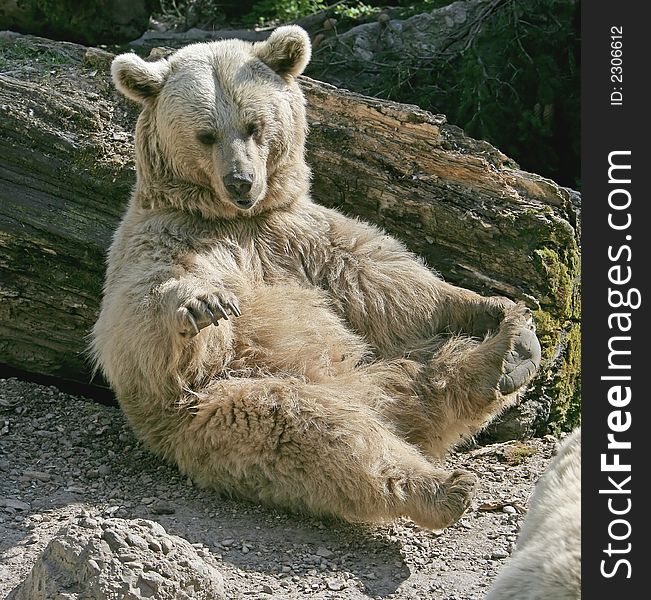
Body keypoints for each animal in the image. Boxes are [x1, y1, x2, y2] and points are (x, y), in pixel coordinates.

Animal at [90, 24, 540, 528]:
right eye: (206, 134)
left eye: (253, 125)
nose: (241, 181)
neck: (234, 219)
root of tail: (374, 400)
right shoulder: (166, 239)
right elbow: (141, 320)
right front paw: (202, 303)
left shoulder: (303, 237)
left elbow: (389, 281)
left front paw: (489, 303)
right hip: (222, 405)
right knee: (314, 428)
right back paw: (441, 484)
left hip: (383, 365)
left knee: (428, 371)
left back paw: (508, 352)